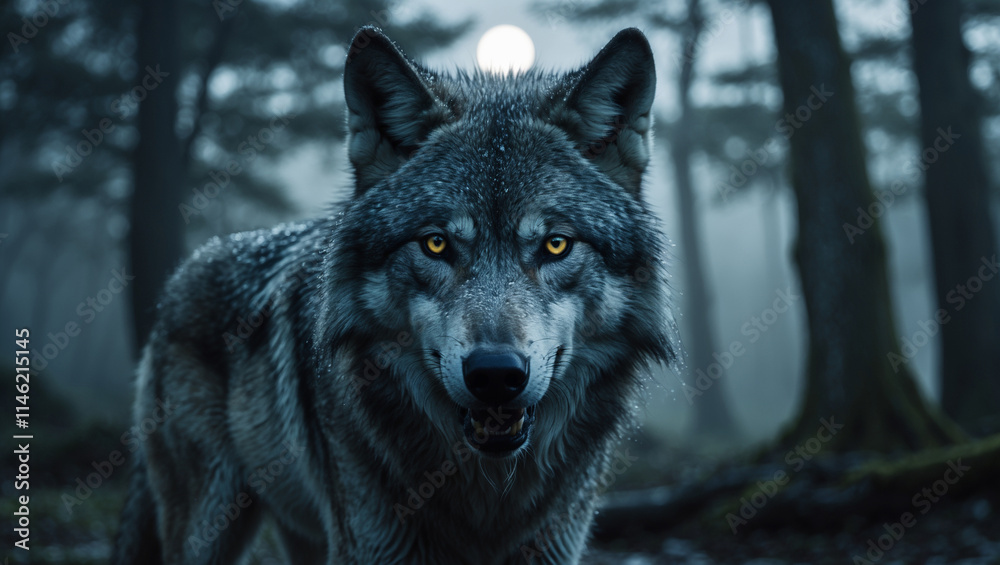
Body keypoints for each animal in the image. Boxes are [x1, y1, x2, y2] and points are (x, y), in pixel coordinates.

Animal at [112, 25, 673, 565]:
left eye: (556, 245)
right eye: (436, 243)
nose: (495, 374)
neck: (487, 497)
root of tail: (185, 271)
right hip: (210, 528)